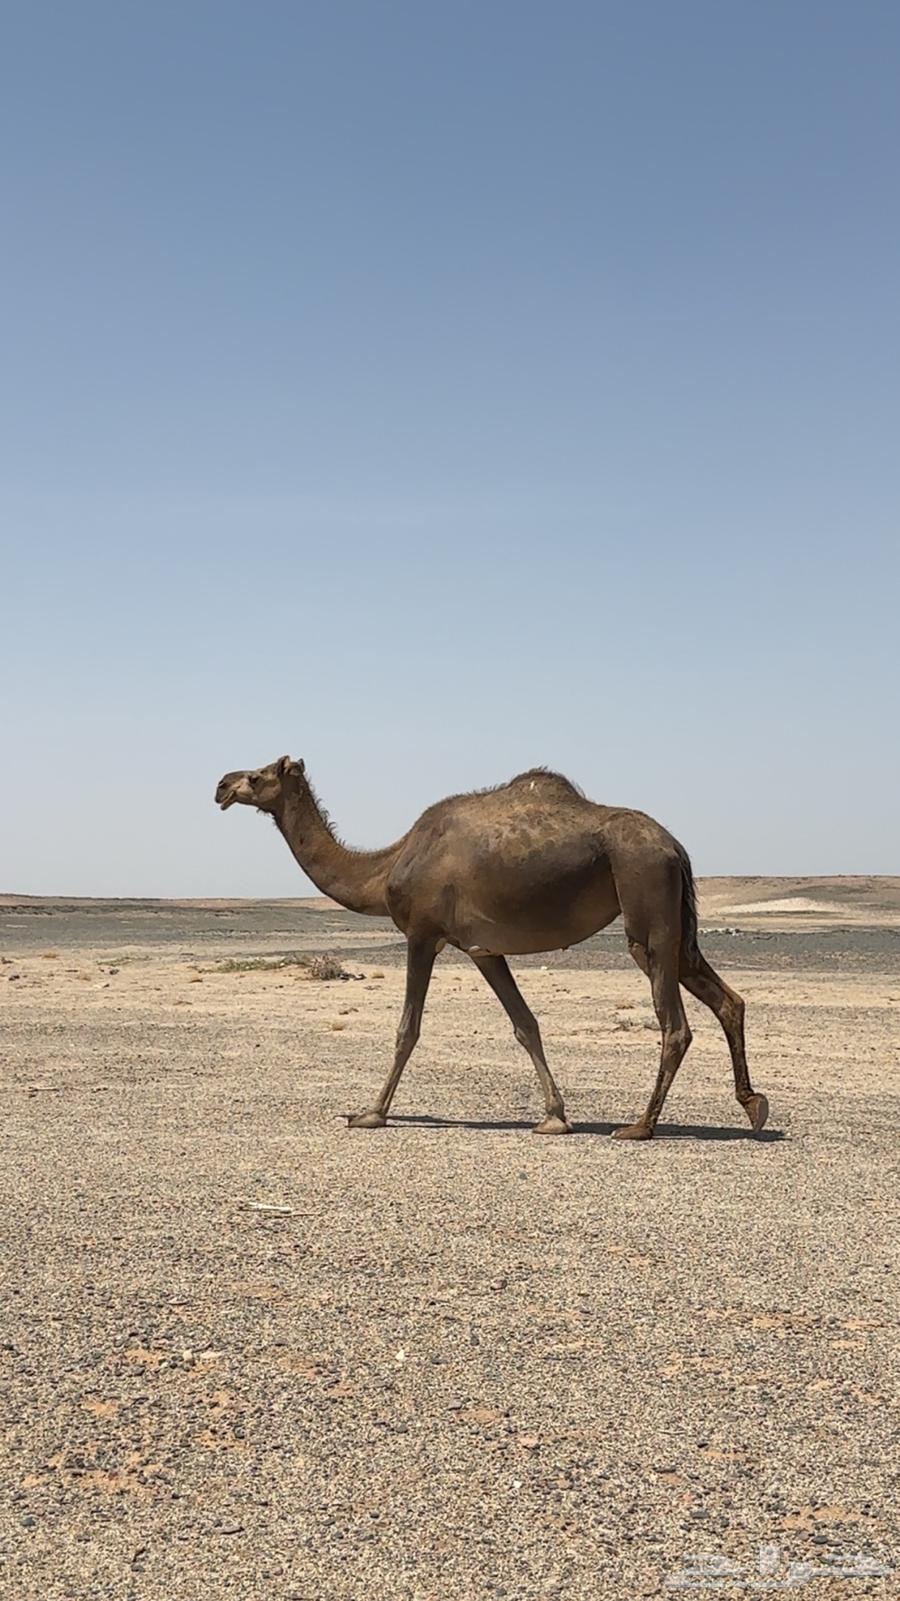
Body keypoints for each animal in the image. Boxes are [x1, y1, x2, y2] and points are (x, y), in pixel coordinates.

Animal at [215, 757, 768, 1140]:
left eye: (259, 775)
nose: (221, 784)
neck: (387, 865)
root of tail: (675, 845)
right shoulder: (483, 949)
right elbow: (526, 1026)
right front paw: (554, 1118)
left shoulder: (422, 934)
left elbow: (407, 1029)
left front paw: (370, 1113)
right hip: (675, 919)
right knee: (727, 999)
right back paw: (753, 1105)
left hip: (645, 895)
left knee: (674, 1022)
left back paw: (639, 1126)